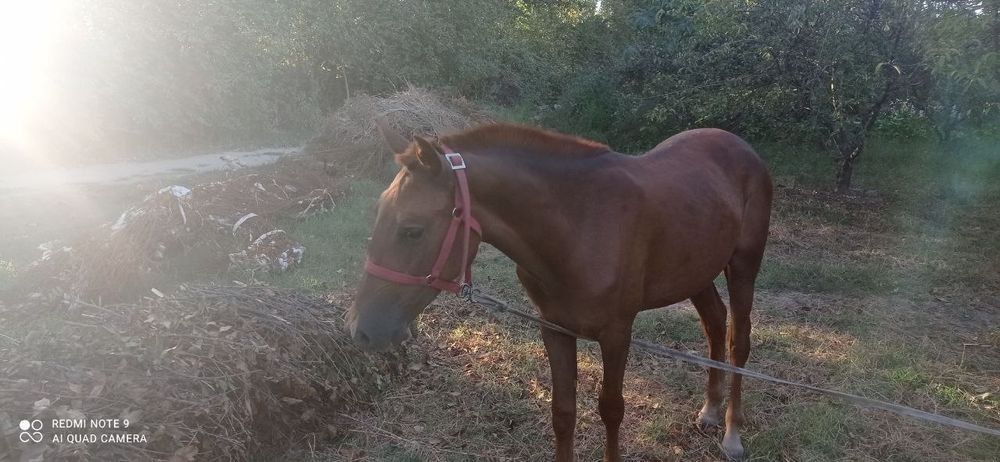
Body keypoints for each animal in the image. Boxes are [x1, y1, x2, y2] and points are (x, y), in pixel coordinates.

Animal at [346, 122, 773, 461]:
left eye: (411, 230)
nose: (359, 330)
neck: (578, 223)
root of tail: (740, 146)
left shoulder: (616, 334)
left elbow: (611, 409)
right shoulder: (554, 329)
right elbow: (563, 412)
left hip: (743, 267)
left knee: (738, 342)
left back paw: (732, 434)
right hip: (696, 271)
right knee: (715, 324)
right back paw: (710, 411)